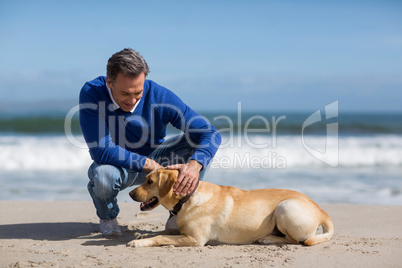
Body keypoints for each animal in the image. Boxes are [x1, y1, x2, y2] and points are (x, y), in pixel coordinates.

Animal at [128, 169, 332, 248]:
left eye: (150, 181)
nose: (130, 194)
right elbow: (163, 232)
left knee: (295, 240)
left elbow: (162, 237)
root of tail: (321, 210)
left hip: (285, 207)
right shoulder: (183, 232)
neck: (188, 198)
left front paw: (137, 242)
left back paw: (267, 239)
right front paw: (141, 236)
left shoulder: (195, 239)